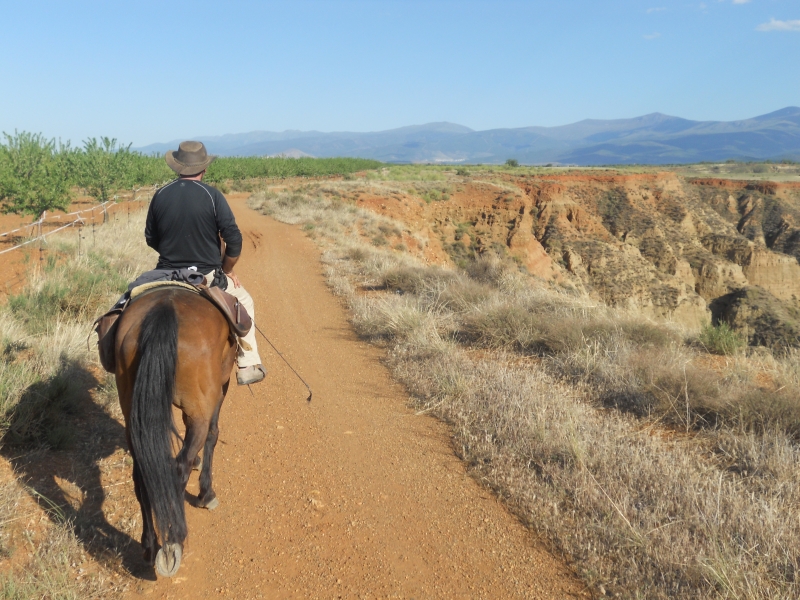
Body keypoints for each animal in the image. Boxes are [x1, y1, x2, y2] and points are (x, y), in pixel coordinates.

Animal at [114, 286, 236, 576]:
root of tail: (165, 308)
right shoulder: (218, 392)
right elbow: (213, 435)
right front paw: (206, 493)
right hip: (200, 408)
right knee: (179, 467)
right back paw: (173, 542)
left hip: (133, 414)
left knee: (143, 473)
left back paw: (149, 546)